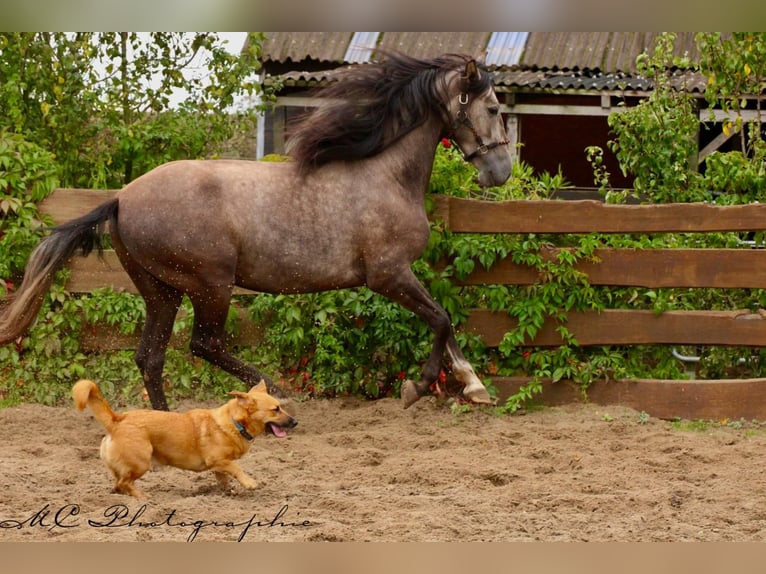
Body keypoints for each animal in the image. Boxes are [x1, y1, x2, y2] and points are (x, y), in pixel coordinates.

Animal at [0, 52, 512, 410]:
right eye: (491, 107)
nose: (502, 171)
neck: (386, 175)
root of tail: (121, 199)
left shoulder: (397, 276)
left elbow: (445, 321)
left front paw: (474, 385)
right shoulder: (387, 275)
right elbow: (441, 318)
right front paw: (418, 388)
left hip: (161, 291)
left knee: (151, 357)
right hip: (211, 285)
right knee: (203, 345)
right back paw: (275, 391)